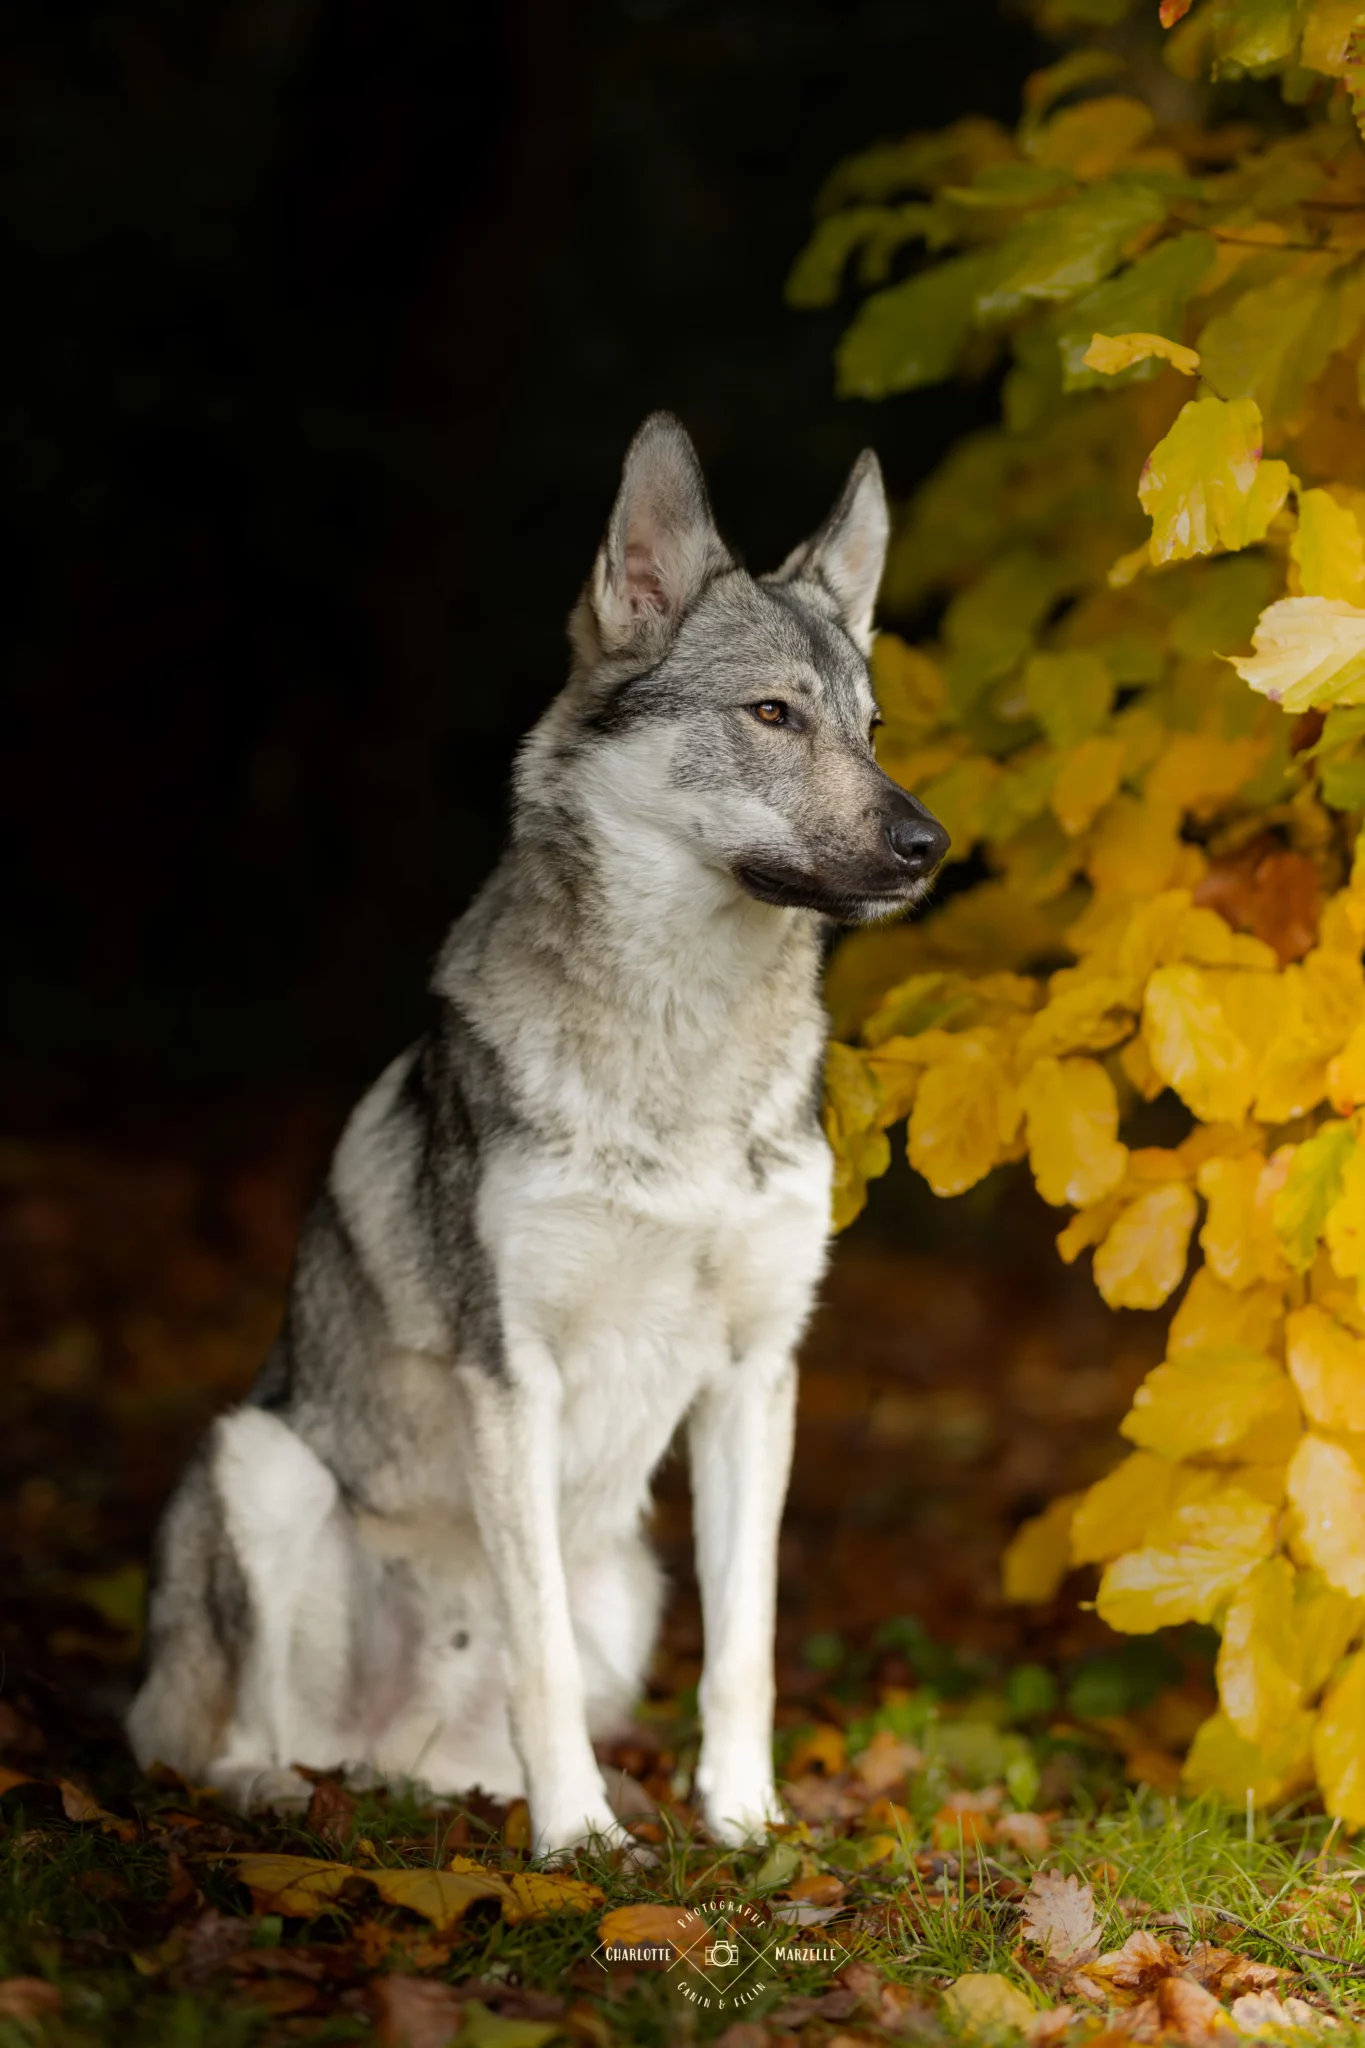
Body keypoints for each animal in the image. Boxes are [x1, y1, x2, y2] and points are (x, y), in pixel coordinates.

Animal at [126, 414, 949, 1857]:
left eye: (872, 728)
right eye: (772, 714)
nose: (928, 844)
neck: (682, 1048)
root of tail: (387, 1755)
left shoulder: (757, 1376)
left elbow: (747, 1649)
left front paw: (743, 1825)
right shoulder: (513, 1377)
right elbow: (539, 1651)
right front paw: (577, 1845)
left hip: (632, 1574)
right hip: (260, 1464)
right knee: (235, 1737)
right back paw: (297, 1794)